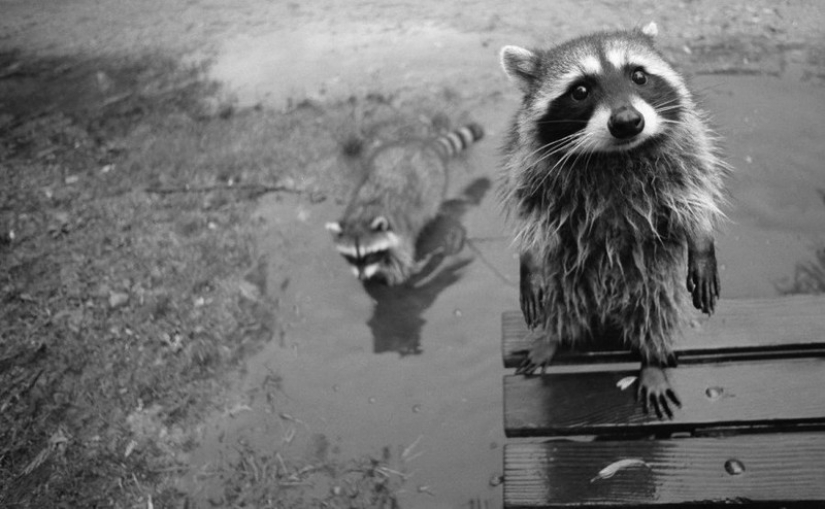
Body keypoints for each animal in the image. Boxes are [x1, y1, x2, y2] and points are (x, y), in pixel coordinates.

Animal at [326, 122, 484, 285]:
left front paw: (397, 271)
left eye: (370, 255)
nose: (361, 276)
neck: (363, 215)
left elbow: (400, 261)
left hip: (434, 184)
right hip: (382, 154)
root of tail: (426, 146)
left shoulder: (402, 231)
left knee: (430, 207)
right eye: (351, 257)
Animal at [498, 23, 729, 418]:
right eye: (580, 91)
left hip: (653, 278)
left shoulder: (686, 146)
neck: (614, 154)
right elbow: (533, 217)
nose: (627, 122)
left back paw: (651, 359)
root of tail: (606, 306)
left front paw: (702, 240)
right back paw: (553, 337)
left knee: (656, 310)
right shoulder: (530, 166)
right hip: (567, 278)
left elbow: (693, 194)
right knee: (561, 301)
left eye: (638, 75)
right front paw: (528, 258)